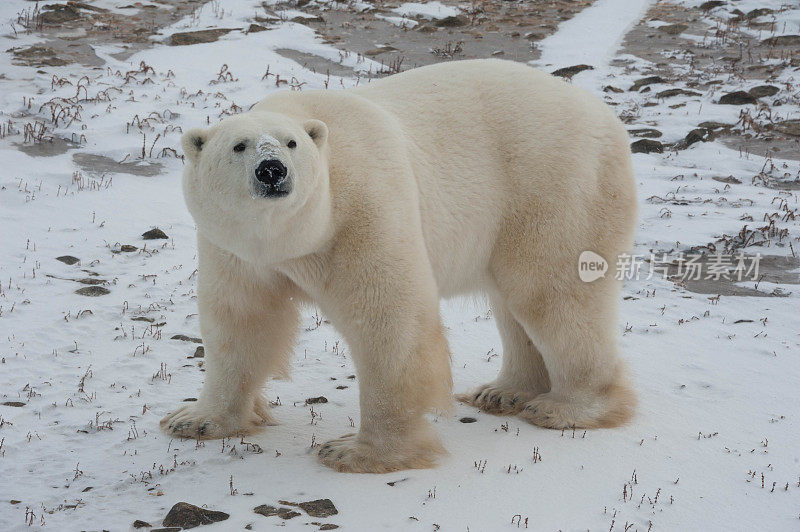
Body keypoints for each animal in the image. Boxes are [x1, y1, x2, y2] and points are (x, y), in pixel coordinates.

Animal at [162, 59, 636, 474]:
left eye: (291, 143)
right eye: (238, 146)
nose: (272, 170)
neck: (293, 238)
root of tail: (604, 116)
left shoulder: (362, 209)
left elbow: (388, 320)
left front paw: (357, 452)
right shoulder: (235, 250)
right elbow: (240, 321)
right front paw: (196, 419)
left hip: (552, 186)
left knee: (551, 293)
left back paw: (566, 407)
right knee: (513, 302)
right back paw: (504, 393)